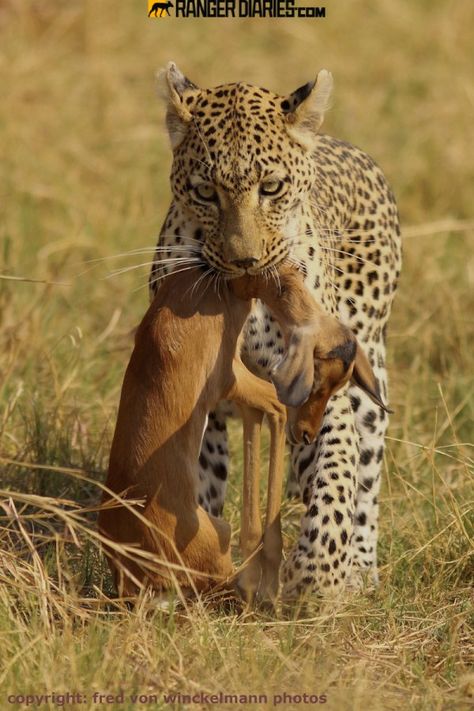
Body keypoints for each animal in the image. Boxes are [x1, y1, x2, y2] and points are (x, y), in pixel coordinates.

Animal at [148, 62, 400, 600]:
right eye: (205, 192)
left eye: (271, 188)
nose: (245, 262)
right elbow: (191, 482)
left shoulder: (323, 396)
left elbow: (335, 478)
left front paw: (313, 575)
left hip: (371, 372)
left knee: (367, 475)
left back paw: (360, 571)